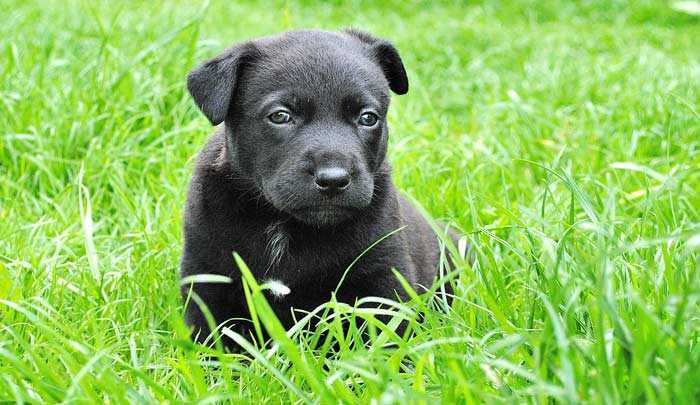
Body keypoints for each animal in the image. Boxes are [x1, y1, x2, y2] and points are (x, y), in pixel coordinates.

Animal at [178, 29, 456, 348]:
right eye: (280, 115)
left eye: (368, 117)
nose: (334, 179)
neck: (283, 223)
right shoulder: (207, 279)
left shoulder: (383, 277)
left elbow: (384, 339)